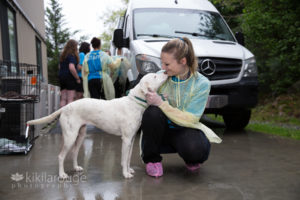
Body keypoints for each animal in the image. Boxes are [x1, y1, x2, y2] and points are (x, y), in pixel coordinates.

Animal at [27, 72, 168, 179]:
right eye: (155, 76)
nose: (166, 72)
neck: (134, 102)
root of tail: (66, 107)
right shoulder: (126, 140)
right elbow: (124, 160)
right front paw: (125, 174)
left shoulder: (132, 140)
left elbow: (127, 159)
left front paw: (129, 170)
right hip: (70, 137)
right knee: (61, 156)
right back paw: (62, 174)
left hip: (80, 136)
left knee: (74, 153)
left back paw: (76, 167)